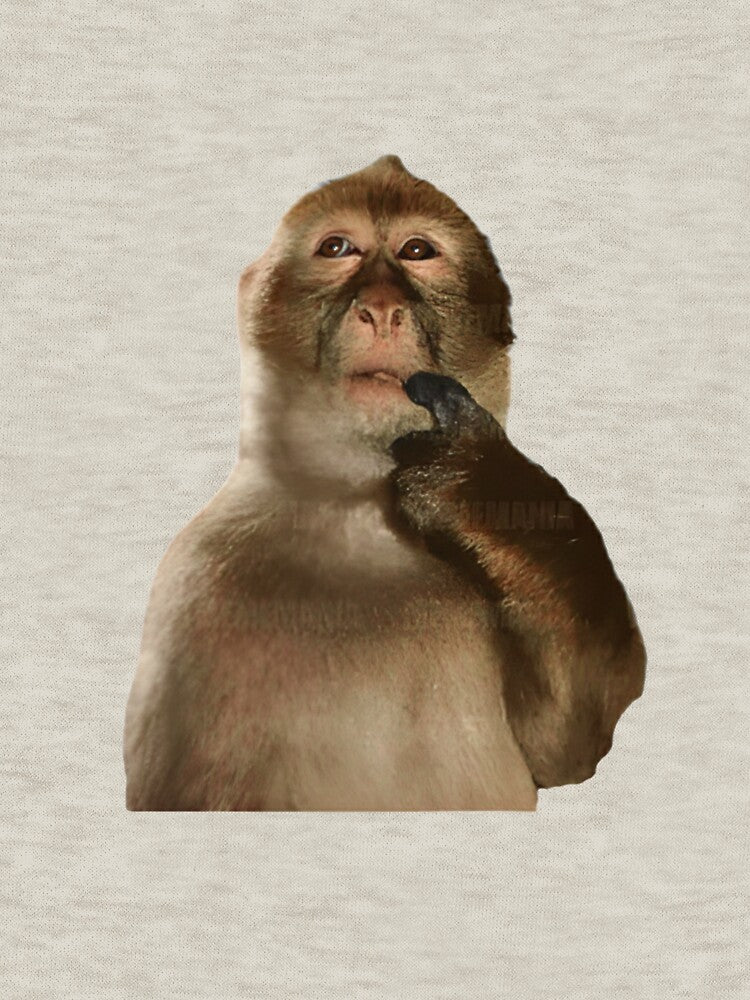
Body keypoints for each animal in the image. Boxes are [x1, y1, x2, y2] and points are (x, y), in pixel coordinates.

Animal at [123, 154, 646, 810]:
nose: (380, 308)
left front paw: (476, 483)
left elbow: (571, 745)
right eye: (337, 248)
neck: (355, 512)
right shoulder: (194, 588)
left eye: (417, 251)